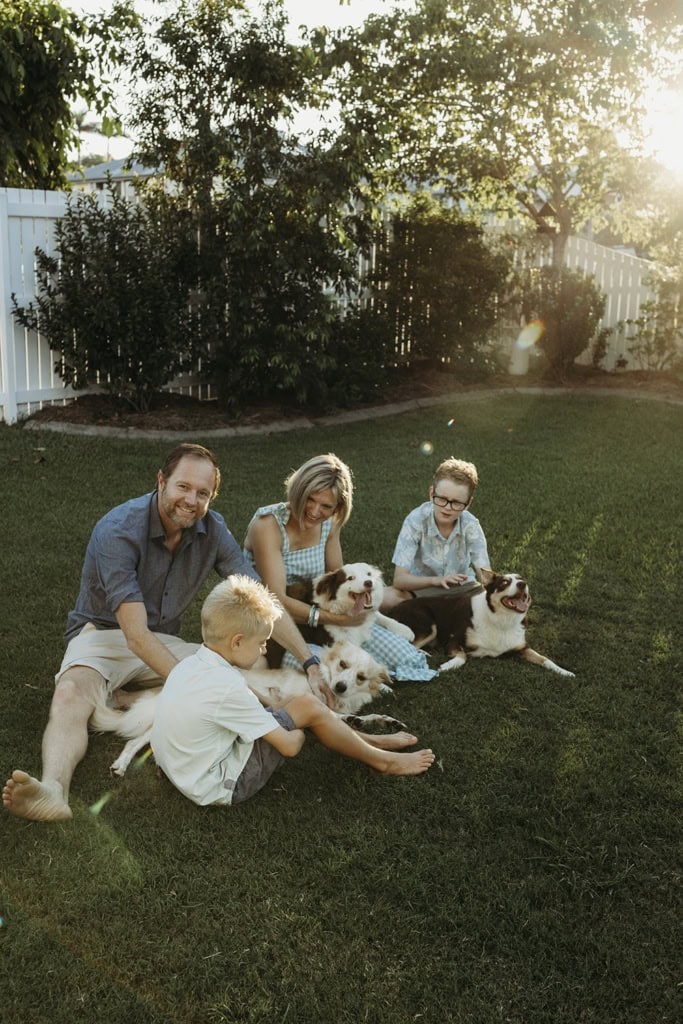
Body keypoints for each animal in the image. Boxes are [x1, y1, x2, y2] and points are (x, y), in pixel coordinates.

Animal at [87, 638, 403, 774]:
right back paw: (121, 764)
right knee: (133, 741)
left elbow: (358, 716)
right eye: (342, 665)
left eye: (360, 677)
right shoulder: (297, 698)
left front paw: (382, 719)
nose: (340, 686)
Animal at [387, 569, 573, 679]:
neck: (501, 620)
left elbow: (545, 659)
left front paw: (565, 672)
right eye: (504, 583)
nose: (523, 584)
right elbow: (462, 657)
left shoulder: (522, 648)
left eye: (521, 579)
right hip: (429, 626)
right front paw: (448, 666)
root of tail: (392, 609)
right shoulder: (454, 640)